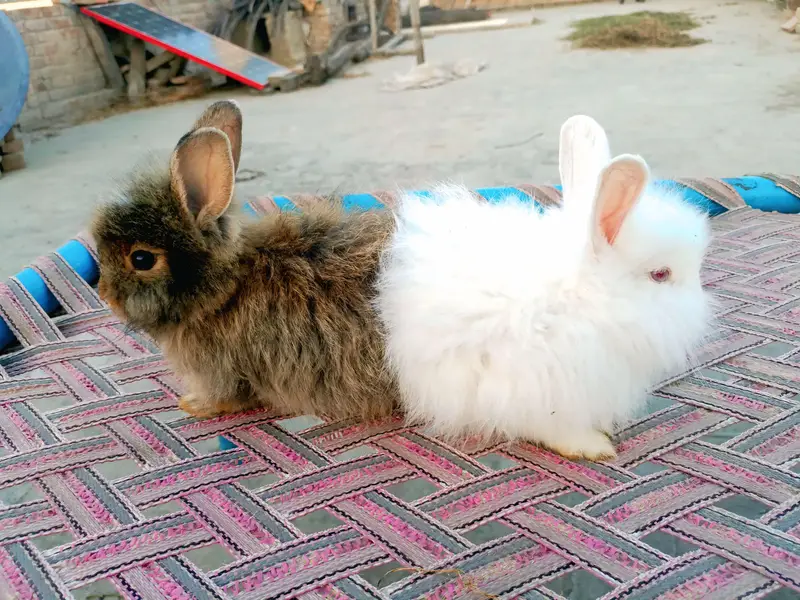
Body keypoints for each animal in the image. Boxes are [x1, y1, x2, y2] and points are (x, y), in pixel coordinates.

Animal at [92, 100, 398, 421]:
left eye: (141, 259)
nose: (105, 294)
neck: (225, 290)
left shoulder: (220, 372)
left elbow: (227, 398)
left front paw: (192, 405)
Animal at [375, 115, 713, 461]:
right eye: (660, 274)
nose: (702, 312)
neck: (587, 298)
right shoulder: (531, 383)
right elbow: (550, 427)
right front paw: (592, 446)